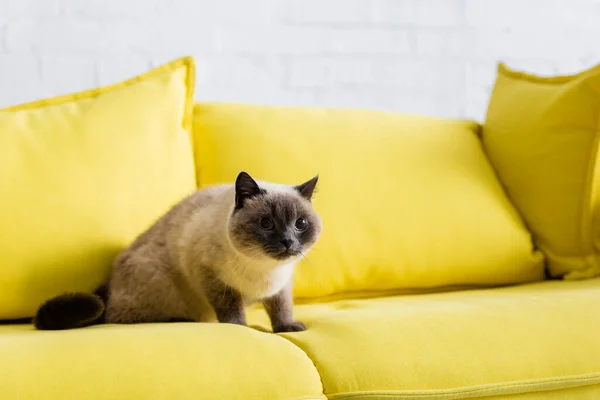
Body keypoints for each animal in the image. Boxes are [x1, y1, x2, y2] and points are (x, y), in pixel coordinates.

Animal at [32, 172, 322, 332]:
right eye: (266, 224)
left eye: (300, 224)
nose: (288, 241)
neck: (263, 268)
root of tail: (109, 281)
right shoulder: (211, 278)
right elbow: (231, 311)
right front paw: (240, 329)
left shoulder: (281, 285)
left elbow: (281, 308)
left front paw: (288, 329)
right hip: (159, 283)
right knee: (117, 315)